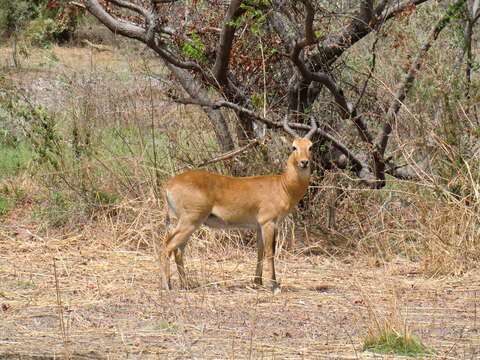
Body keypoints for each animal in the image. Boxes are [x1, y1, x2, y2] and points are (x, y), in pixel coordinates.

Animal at [161, 115, 318, 292]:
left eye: (310, 146)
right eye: (294, 147)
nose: (304, 162)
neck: (282, 186)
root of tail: (169, 184)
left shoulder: (259, 226)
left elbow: (260, 251)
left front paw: (257, 282)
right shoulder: (268, 223)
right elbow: (270, 252)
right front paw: (274, 286)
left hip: (190, 224)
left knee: (178, 250)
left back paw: (185, 285)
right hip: (190, 221)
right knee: (167, 245)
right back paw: (166, 285)